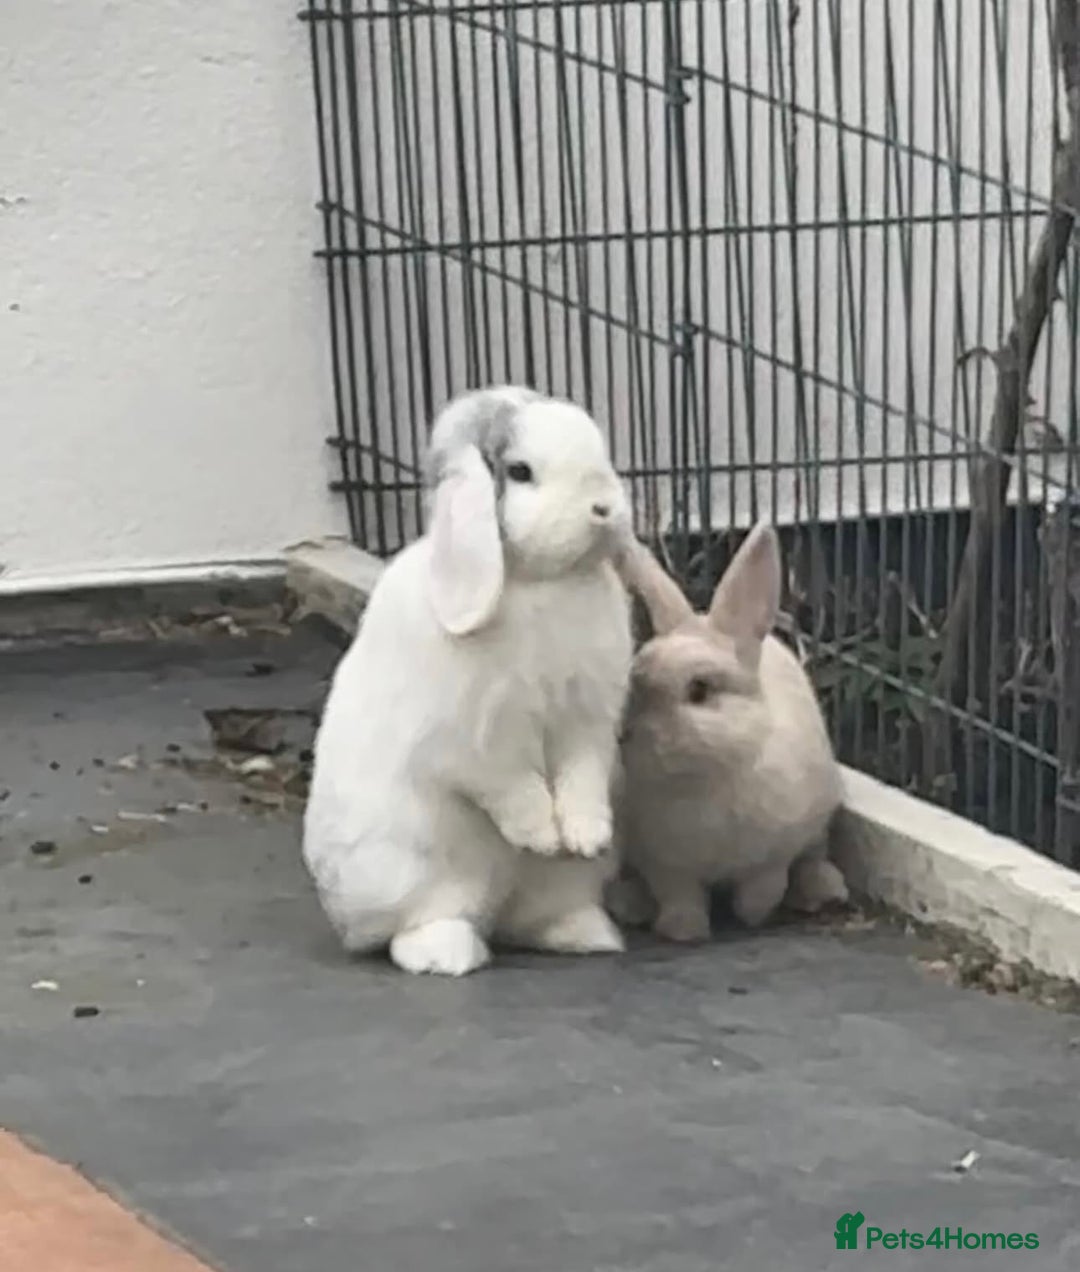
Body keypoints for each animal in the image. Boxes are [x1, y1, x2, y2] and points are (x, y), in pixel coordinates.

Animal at [303, 385, 633, 976]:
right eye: (520, 471)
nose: (605, 509)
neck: (537, 583)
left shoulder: (588, 721)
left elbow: (582, 775)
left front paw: (584, 835)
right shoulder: (473, 739)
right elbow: (510, 785)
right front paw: (541, 835)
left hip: (558, 887)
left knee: (535, 917)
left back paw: (585, 934)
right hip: (416, 873)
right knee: (417, 926)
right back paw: (448, 954)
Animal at [608, 522, 849, 943]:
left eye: (700, 690)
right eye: (634, 675)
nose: (625, 734)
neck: (704, 779)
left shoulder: (773, 854)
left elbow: (763, 889)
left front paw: (752, 917)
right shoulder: (665, 865)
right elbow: (680, 897)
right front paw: (683, 931)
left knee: (813, 859)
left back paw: (823, 890)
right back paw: (630, 903)